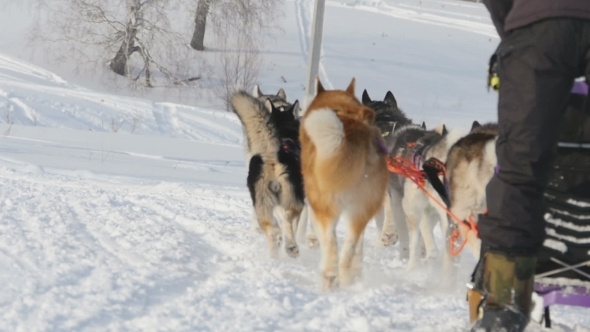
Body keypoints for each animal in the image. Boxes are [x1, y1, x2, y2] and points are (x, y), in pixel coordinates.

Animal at [231, 91, 306, 260]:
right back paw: (291, 248)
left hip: (263, 204)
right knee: (287, 219)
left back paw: (274, 259)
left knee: (273, 230)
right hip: (294, 200)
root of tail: (272, 152)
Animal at [302, 78, 390, 290]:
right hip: (361, 209)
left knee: (332, 245)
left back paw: (329, 278)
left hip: (324, 207)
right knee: (349, 250)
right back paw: (348, 279)